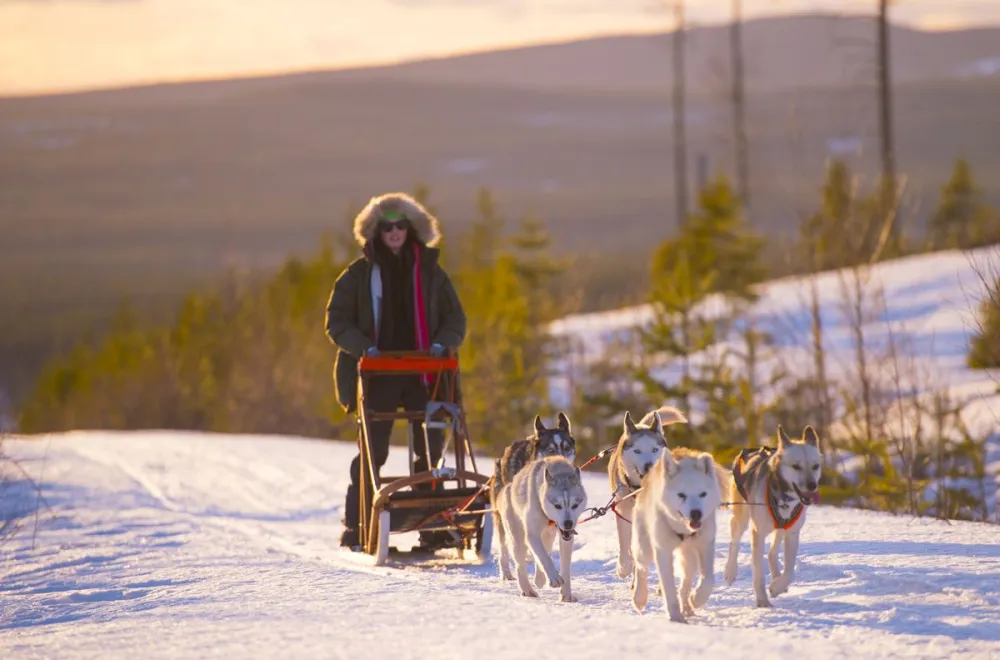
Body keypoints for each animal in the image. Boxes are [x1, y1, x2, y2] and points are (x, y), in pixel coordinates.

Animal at [488, 416, 576, 580]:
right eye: (550, 450)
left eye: (567, 448)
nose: (562, 463)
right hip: (501, 517)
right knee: (504, 547)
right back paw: (507, 573)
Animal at [498, 456, 588, 600]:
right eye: (557, 505)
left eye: (575, 505)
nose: (568, 523)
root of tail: (509, 486)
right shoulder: (532, 535)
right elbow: (543, 557)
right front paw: (554, 578)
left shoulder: (566, 538)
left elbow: (564, 566)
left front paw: (566, 594)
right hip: (517, 539)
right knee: (520, 566)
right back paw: (528, 590)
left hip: (547, 535)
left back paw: (540, 579)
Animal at [608, 408, 688, 576]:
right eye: (637, 451)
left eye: (654, 449)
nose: (648, 466)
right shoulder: (623, 511)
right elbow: (624, 542)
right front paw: (624, 566)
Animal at [628, 446, 724, 620]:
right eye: (681, 495)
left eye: (703, 494)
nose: (696, 513)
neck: (684, 530)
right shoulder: (663, 551)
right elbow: (668, 588)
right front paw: (675, 617)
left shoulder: (705, 546)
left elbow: (708, 579)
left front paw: (697, 599)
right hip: (644, 548)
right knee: (641, 568)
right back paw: (639, 597)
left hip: (689, 558)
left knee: (685, 584)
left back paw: (687, 607)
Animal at [724, 426, 824, 604]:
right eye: (796, 466)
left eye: (815, 466)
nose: (812, 485)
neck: (784, 499)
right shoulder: (758, 533)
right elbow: (758, 573)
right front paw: (763, 602)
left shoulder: (792, 533)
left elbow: (790, 571)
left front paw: (777, 587)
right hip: (742, 517)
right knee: (734, 543)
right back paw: (730, 571)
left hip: (781, 527)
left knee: (772, 552)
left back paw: (777, 577)